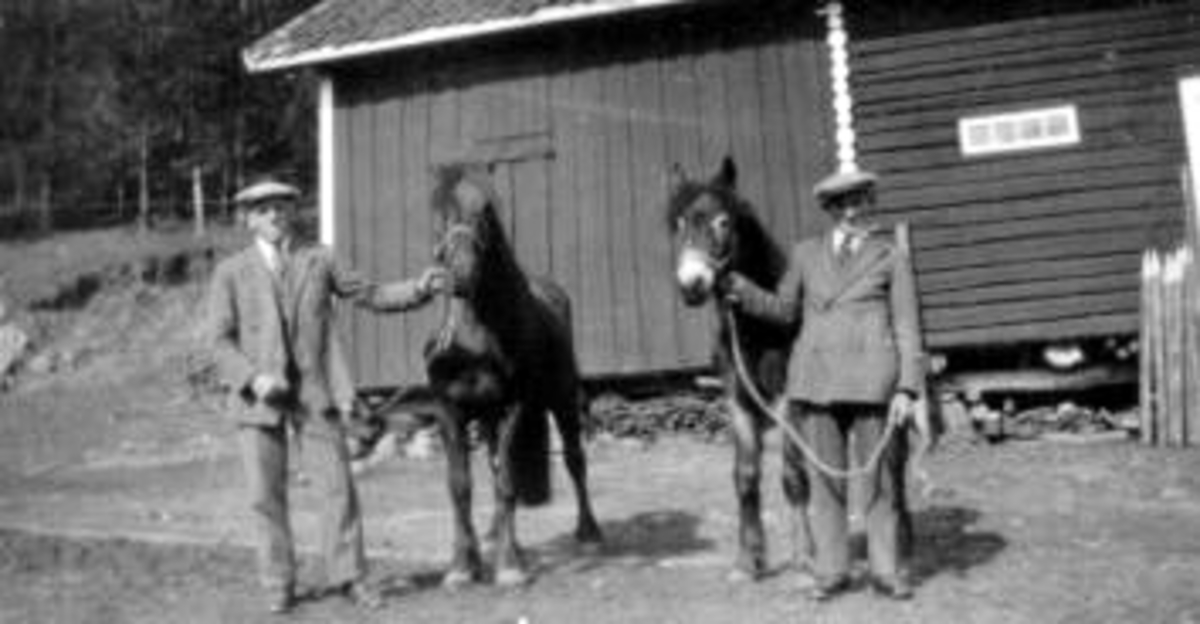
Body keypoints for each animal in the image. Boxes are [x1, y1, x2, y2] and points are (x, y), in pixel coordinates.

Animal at [424, 159, 604, 585]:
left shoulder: (513, 407)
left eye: (484, 213)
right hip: (488, 419)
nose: (461, 274)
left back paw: (588, 534)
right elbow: (461, 487)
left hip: (561, 402)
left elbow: (507, 482)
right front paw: (463, 566)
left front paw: (507, 567)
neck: (474, 334)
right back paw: (502, 539)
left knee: (574, 461)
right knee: (493, 469)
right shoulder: (449, 412)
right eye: (440, 213)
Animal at [667, 157, 816, 585]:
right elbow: (745, 477)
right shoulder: (737, 401)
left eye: (723, 222)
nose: (692, 284)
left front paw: (806, 559)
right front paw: (749, 560)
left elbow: (793, 476)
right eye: (678, 223)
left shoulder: (787, 402)